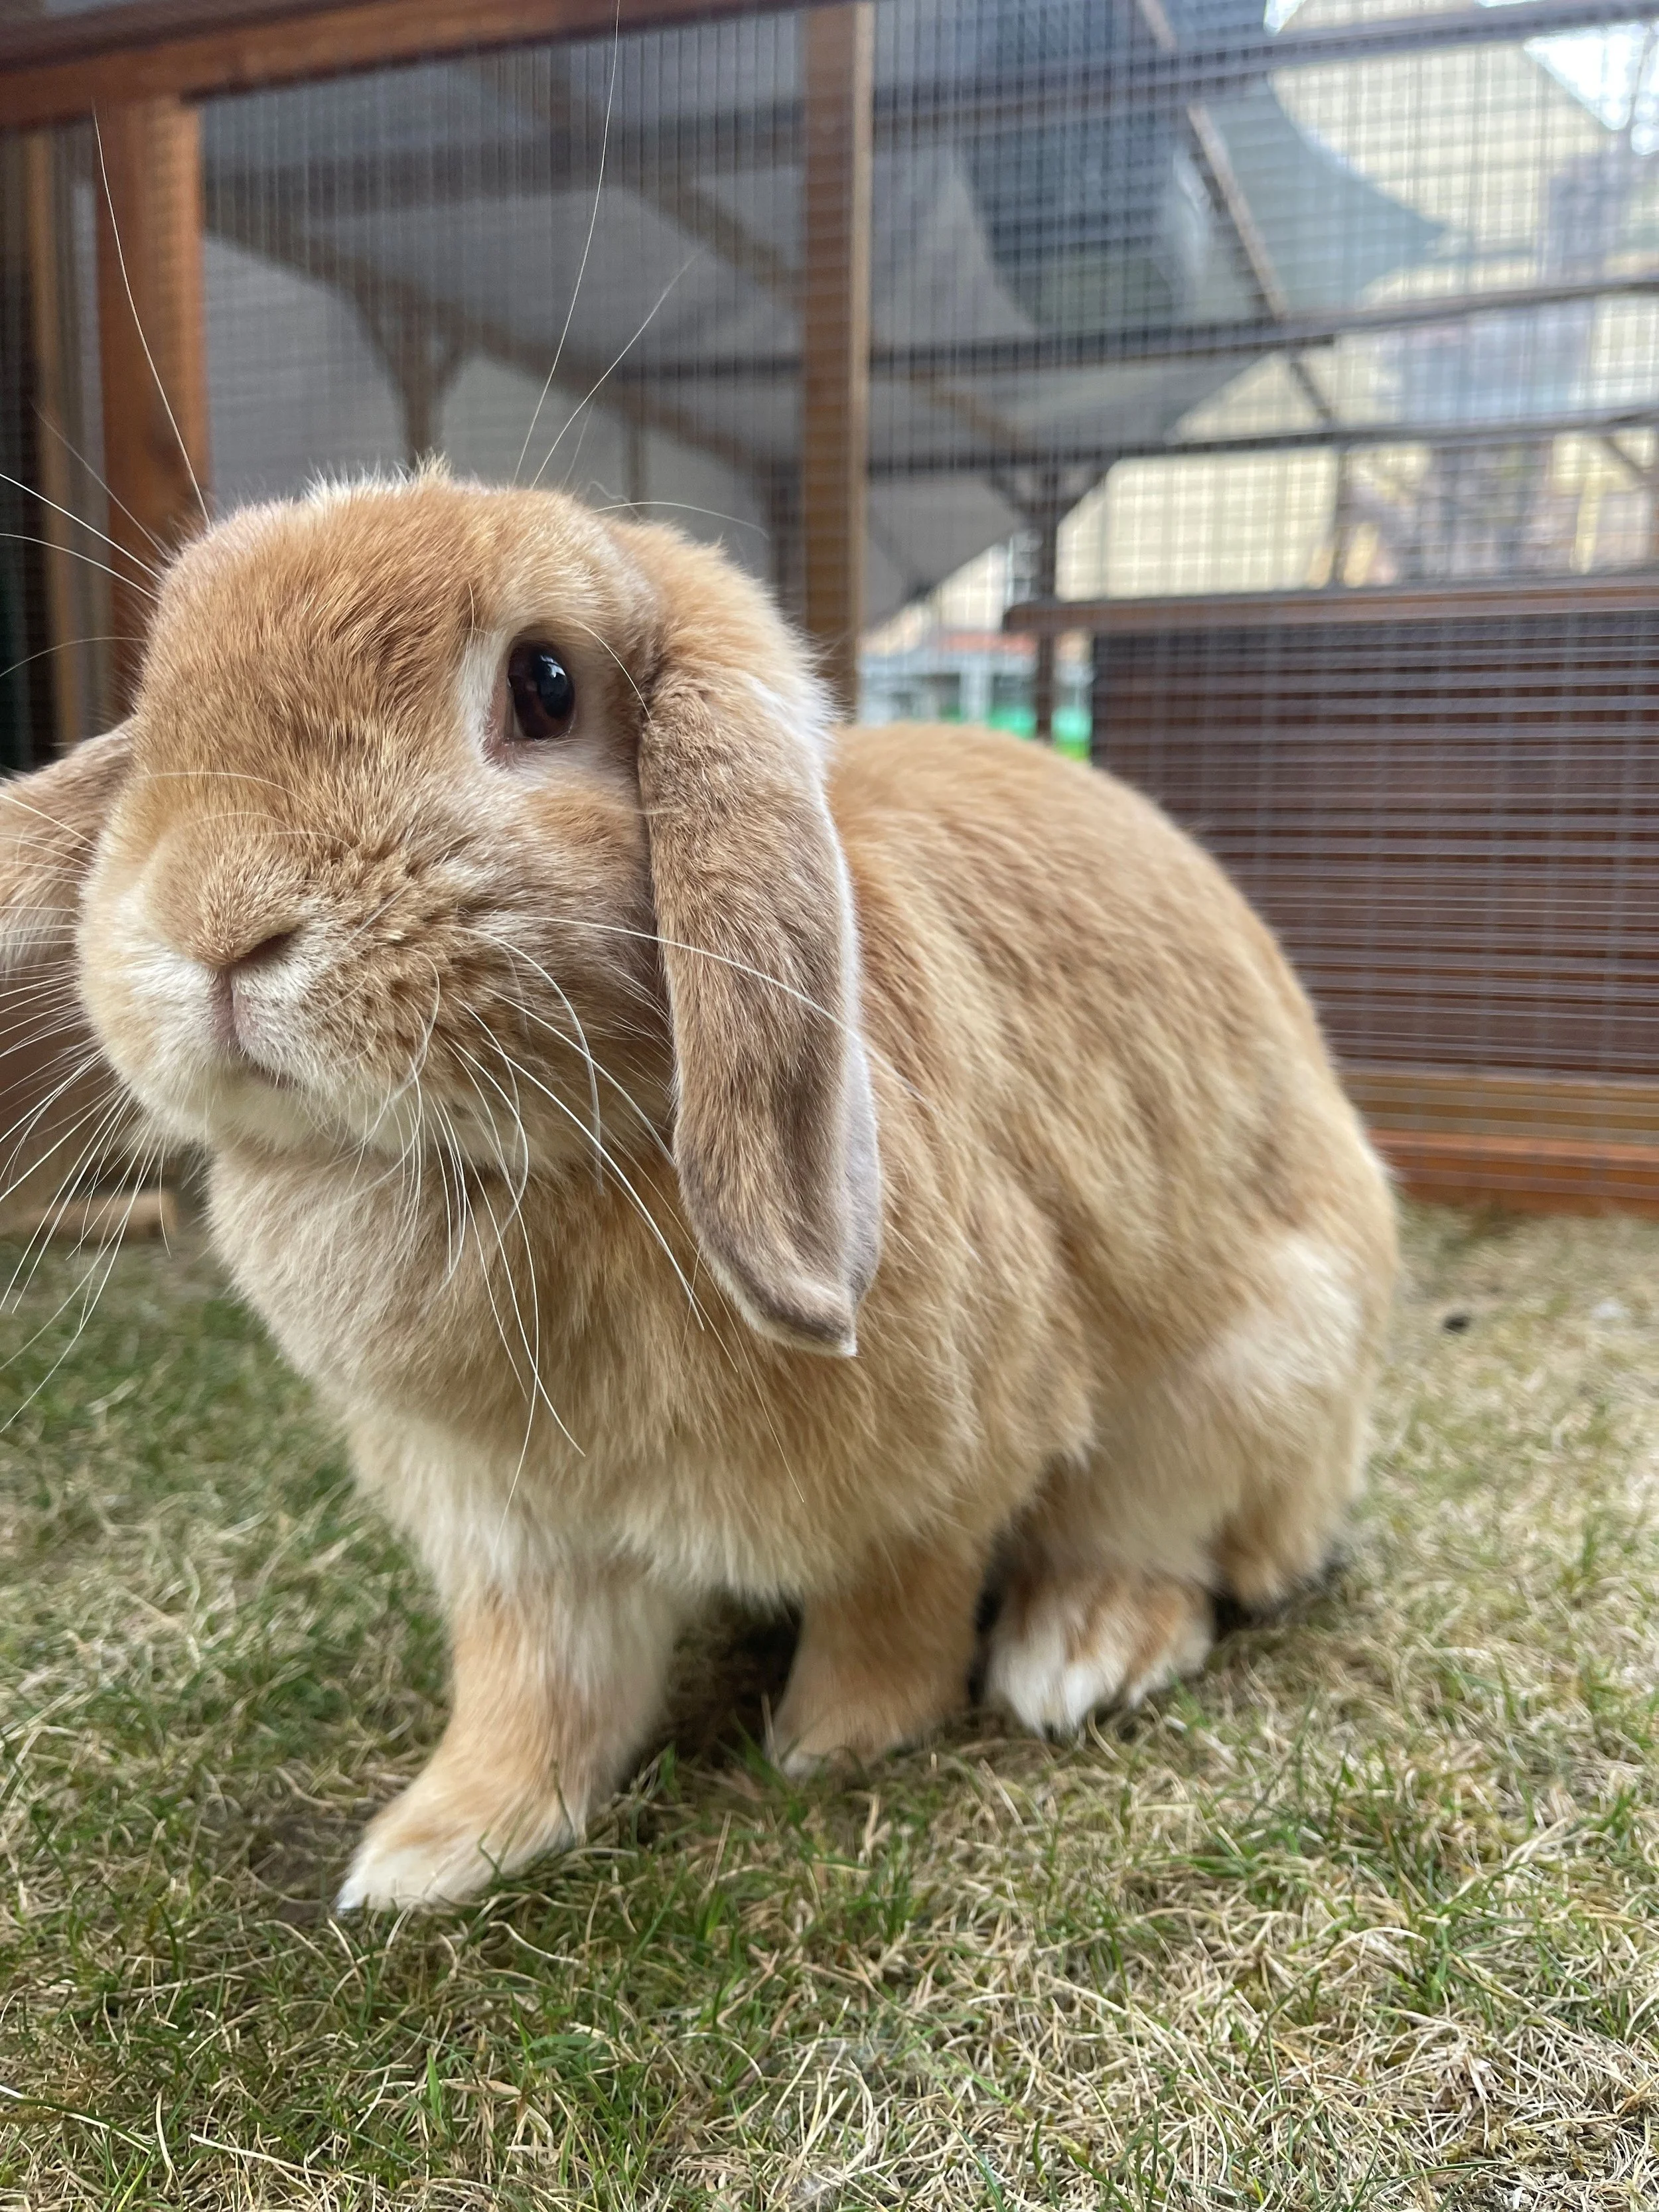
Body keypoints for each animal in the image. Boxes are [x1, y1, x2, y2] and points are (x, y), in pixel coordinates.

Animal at [0, 468, 1397, 1909]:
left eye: (544, 684)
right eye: (161, 701)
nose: (216, 922)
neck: (529, 1164)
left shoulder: (938, 1476)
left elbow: (895, 1607)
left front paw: (834, 1741)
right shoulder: (515, 1538)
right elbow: (537, 1687)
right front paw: (438, 1846)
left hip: (1249, 1374)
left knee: (1178, 1541)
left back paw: (1081, 1649)